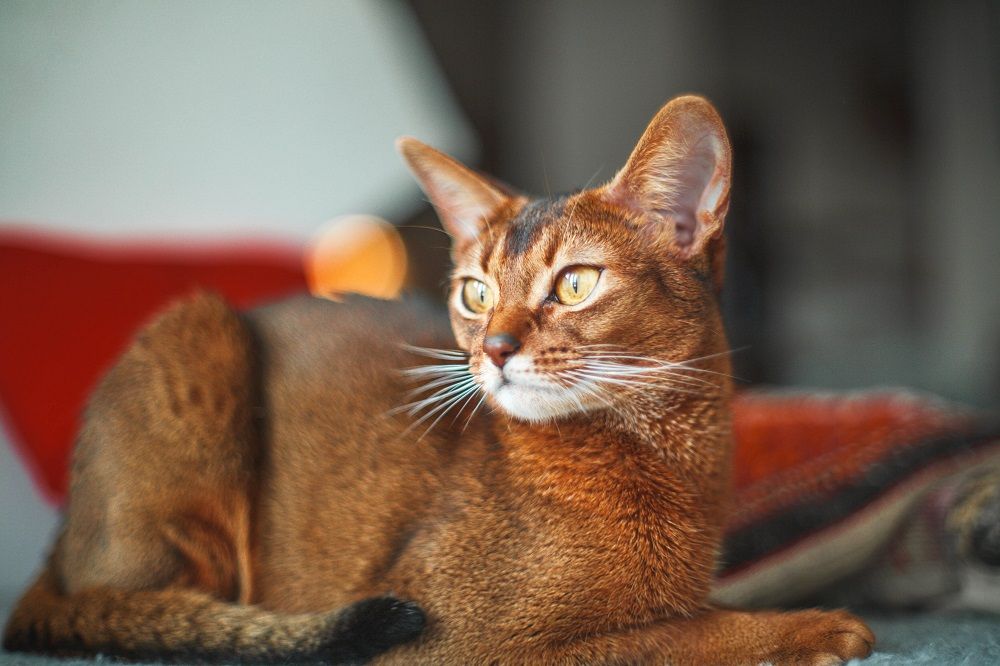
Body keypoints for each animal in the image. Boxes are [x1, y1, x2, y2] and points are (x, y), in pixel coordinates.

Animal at [1, 96, 876, 660]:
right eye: (475, 293)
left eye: (575, 284)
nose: (494, 348)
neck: (663, 454)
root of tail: (62, 535)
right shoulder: (458, 639)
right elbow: (659, 638)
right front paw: (810, 628)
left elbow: (687, 612)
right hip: (198, 331)